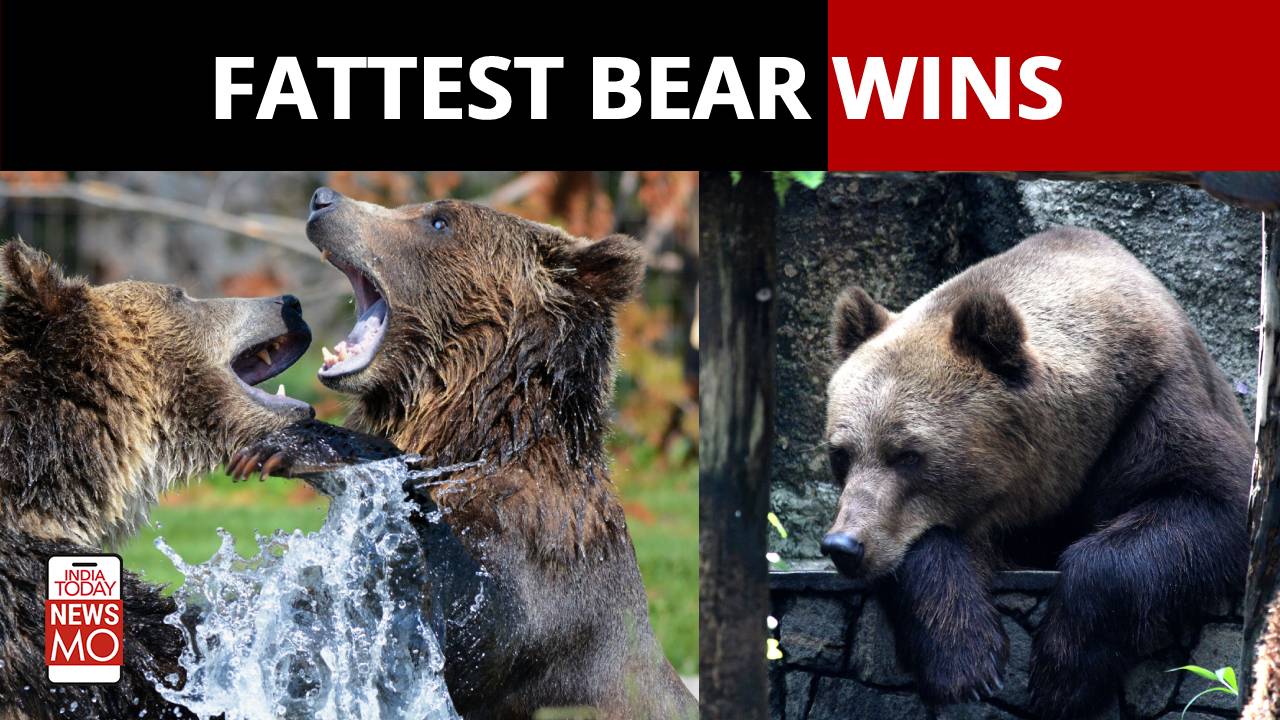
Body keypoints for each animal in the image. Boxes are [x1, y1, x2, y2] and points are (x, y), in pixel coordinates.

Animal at [229, 187, 698, 720]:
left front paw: (291, 446)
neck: (478, 436)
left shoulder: (539, 567)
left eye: (439, 222)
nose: (324, 200)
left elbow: (468, 619)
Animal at [819, 227, 1250, 719]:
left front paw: (1061, 674)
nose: (843, 545)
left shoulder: (1155, 401)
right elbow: (925, 548)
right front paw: (967, 661)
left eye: (908, 454)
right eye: (841, 454)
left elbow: (1210, 501)